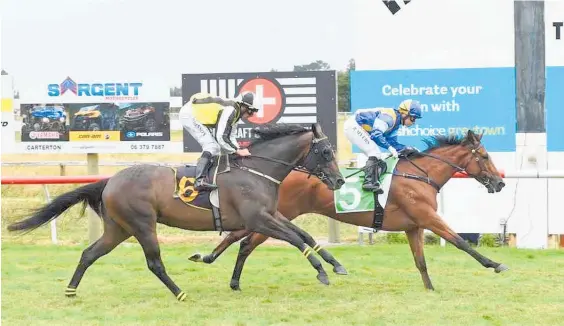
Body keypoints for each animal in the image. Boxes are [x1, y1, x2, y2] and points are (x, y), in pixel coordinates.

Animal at [6, 123, 346, 302]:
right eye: (325, 151)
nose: (340, 181)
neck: (256, 170)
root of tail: (110, 180)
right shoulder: (258, 219)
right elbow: (295, 239)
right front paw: (321, 273)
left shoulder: (270, 214)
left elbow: (304, 235)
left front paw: (336, 265)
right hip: (142, 224)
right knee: (154, 263)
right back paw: (180, 293)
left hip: (118, 229)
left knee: (90, 253)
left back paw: (71, 289)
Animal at [188, 130, 506, 290]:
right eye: (485, 156)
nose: (500, 182)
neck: (420, 174)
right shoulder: (427, 217)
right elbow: (461, 241)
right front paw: (495, 264)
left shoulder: (413, 226)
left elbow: (421, 262)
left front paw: (430, 289)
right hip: (276, 215)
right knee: (246, 241)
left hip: (271, 215)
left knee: (242, 240)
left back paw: (220, 267)